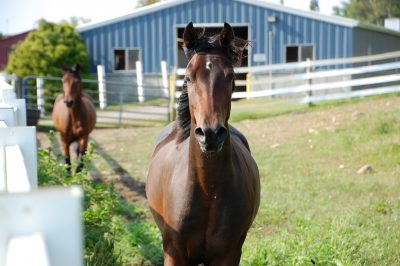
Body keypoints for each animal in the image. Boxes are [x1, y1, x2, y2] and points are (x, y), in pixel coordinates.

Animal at [145, 23, 260, 266]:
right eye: (188, 77)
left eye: (231, 76)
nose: (211, 134)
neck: (208, 191)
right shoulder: (173, 253)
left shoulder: (229, 255)